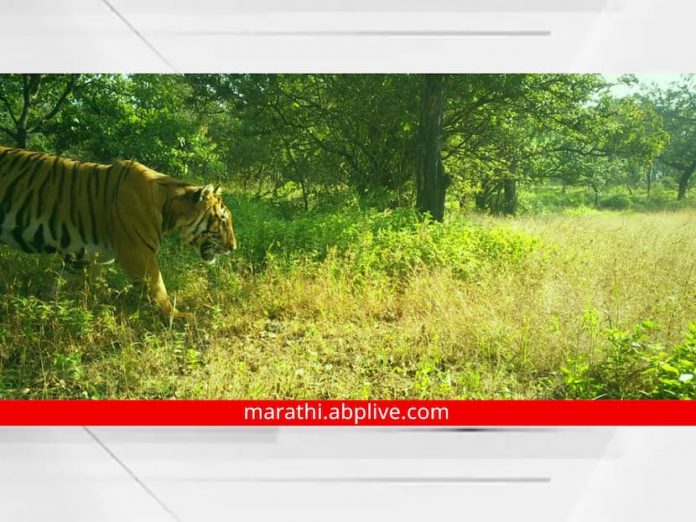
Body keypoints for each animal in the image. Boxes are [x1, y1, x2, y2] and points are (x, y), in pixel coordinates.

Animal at [0, 145, 237, 319]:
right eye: (222, 220)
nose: (233, 247)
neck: (167, 207)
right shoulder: (138, 253)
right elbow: (158, 288)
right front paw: (179, 318)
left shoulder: (79, 256)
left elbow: (58, 284)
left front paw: (45, 308)